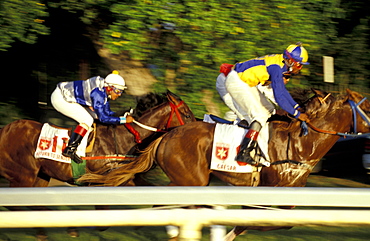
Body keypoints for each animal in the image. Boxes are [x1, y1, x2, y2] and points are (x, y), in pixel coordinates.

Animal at [77, 89, 370, 241]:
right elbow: (261, 220)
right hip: (191, 180)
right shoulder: (267, 193)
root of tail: (166, 135)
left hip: (188, 180)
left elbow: (280, 221)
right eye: (369, 107)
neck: (300, 144)